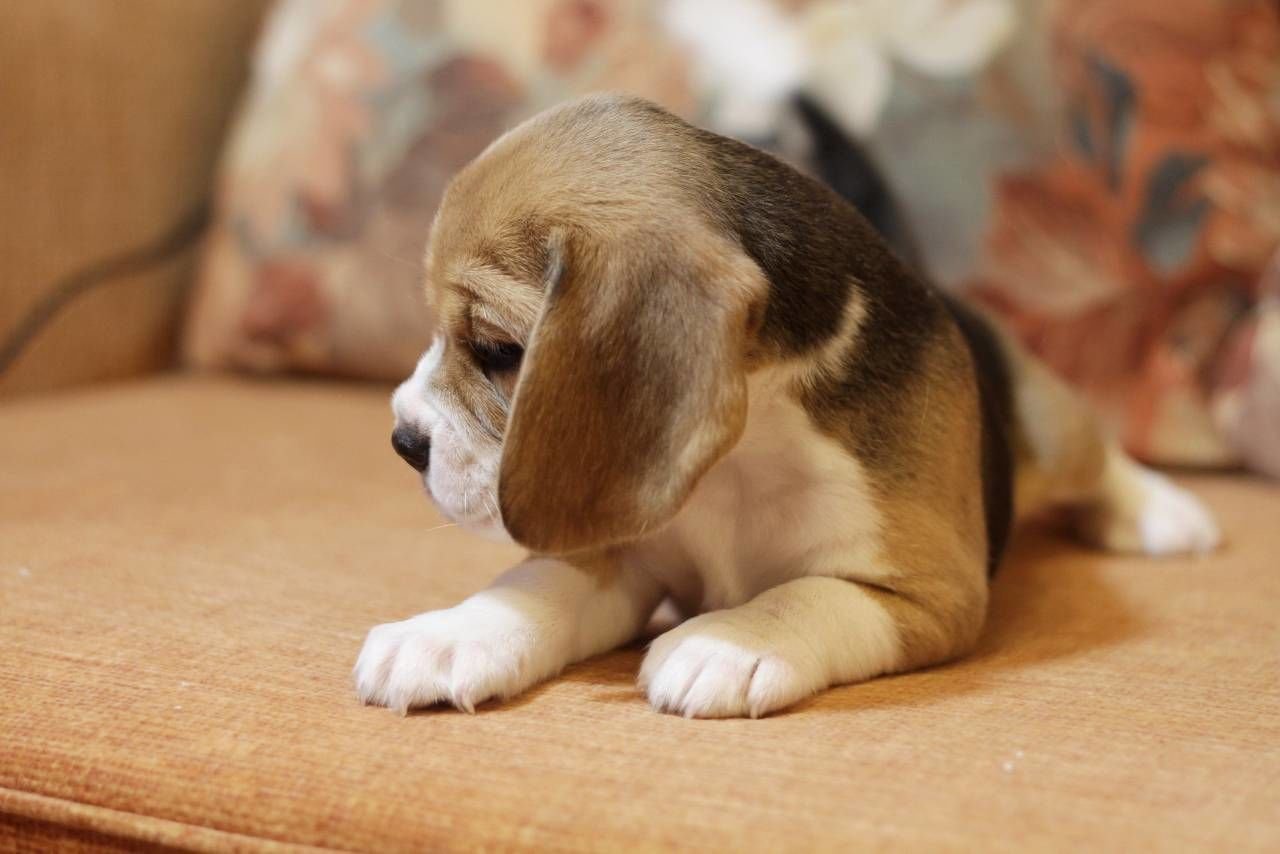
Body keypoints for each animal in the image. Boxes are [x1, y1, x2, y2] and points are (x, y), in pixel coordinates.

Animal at [354, 95, 1220, 719]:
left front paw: (729, 641)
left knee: (1095, 453)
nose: (402, 440)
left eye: (500, 350)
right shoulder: (621, 549)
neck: (743, 456)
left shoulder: (932, 592)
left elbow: (809, 591)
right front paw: (448, 636)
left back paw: (1160, 510)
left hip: (1048, 425)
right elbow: (540, 582)